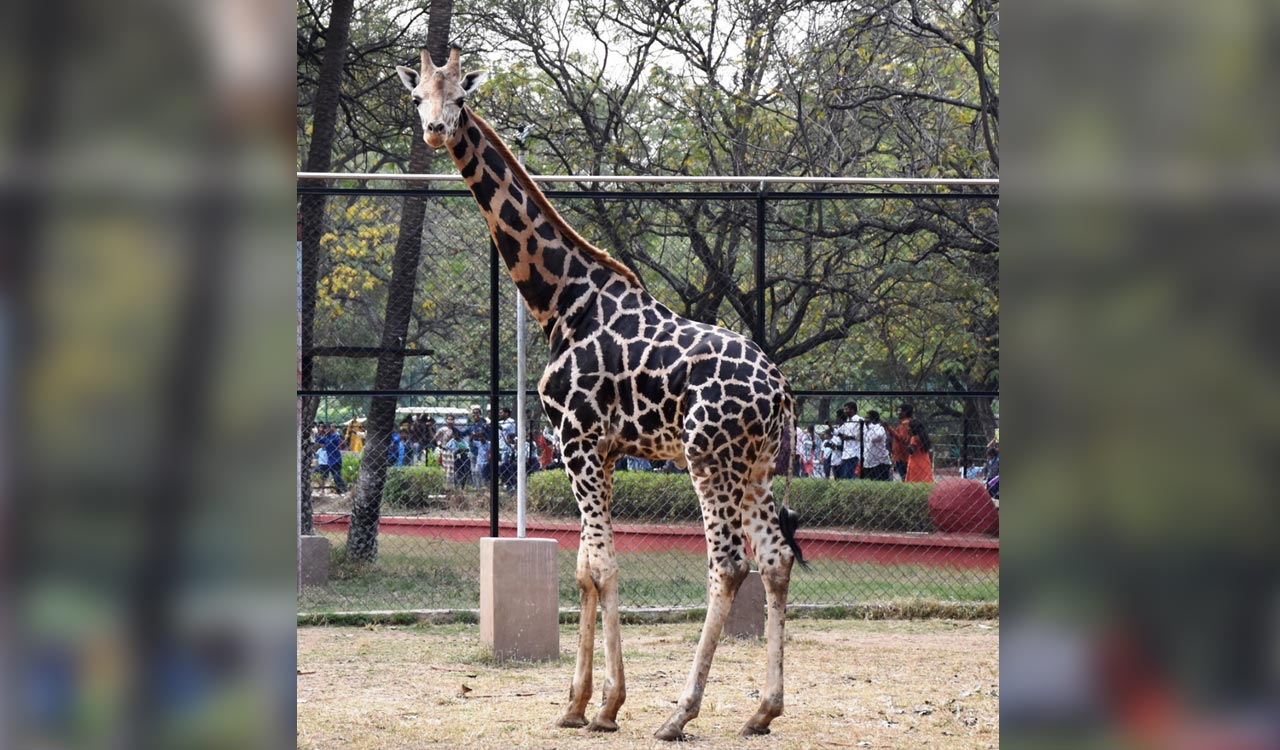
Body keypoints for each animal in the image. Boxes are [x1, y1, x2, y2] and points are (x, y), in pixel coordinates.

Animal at [396, 45, 807, 740]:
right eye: (419, 96)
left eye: (460, 98)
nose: (435, 130)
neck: (561, 302)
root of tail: (779, 391)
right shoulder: (604, 450)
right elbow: (587, 568)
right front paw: (578, 704)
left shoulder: (577, 440)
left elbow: (603, 566)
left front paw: (608, 704)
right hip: (754, 463)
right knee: (775, 558)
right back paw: (763, 710)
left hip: (708, 457)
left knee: (729, 563)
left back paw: (679, 713)